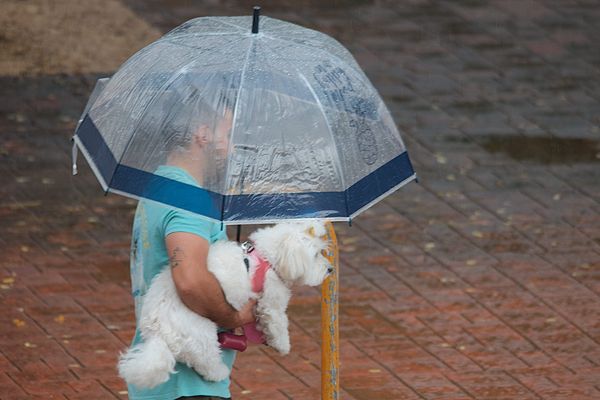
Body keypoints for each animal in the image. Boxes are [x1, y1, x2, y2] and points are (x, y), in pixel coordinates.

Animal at [117, 220, 332, 390]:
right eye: (315, 255)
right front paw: (282, 345)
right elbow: (278, 322)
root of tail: (158, 333)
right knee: (206, 362)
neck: (266, 257)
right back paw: (219, 372)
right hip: (201, 334)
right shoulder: (271, 300)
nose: (330, 269)